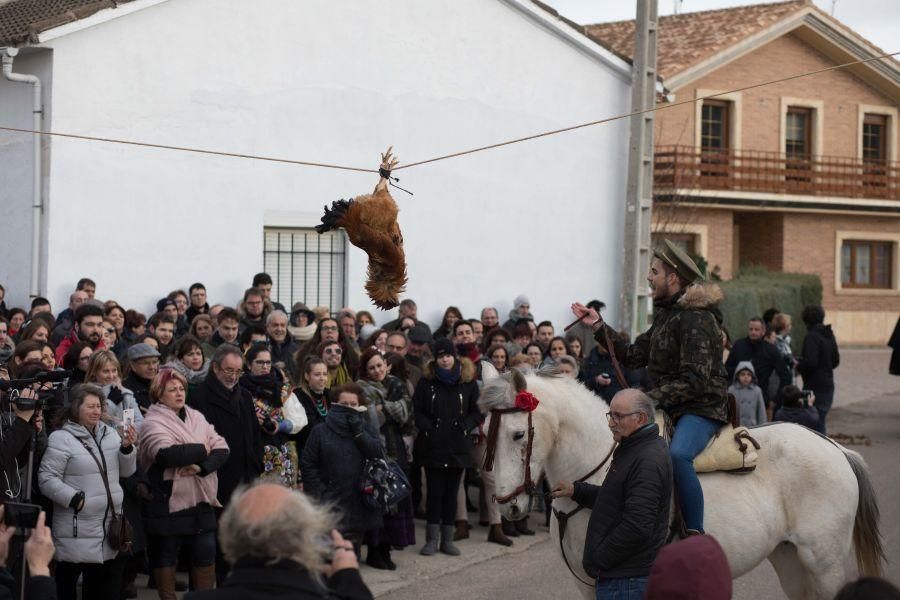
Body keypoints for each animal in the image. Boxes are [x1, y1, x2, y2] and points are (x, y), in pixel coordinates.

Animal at [482, 366, 884, 600]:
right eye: (485, 433)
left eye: (518, 434)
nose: (507, 503)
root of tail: (835, 447)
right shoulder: (587, 585)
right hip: (790, 559)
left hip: (824, 563)